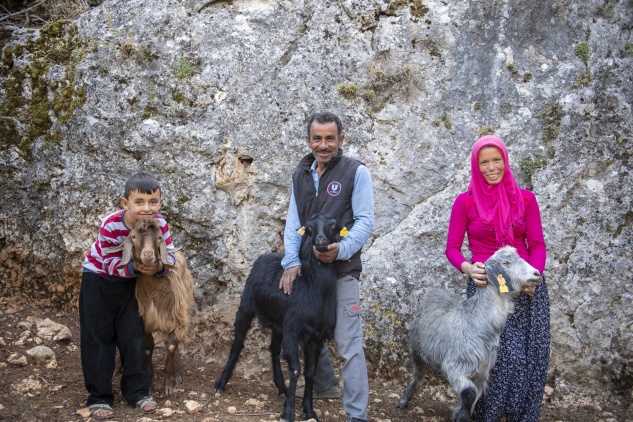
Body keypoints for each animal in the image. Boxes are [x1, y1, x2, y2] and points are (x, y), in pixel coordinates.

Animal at [107, 218, 194, 396]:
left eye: (160, 237)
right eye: (133, 237)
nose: (148, 255)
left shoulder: (173, 317)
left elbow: (172, 345)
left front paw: (169, 384)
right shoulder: (144, 319)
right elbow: (147, 348)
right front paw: (148, 384)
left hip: (184, 309)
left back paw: (179, 372)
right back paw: (118, 368)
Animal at [214, 214, 340, 422]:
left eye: (333, 226)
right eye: (309, 229)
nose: (321, 239)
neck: (314, 289)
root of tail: (265, 255)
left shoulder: (316, 336)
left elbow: (310, 372)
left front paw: (309, 410)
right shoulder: (294, 329)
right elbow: (296, 369)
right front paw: (288, 413)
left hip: (280, 324)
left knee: (273, 349)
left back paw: (282, 388)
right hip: (247, 306)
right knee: (238, 343)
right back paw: (220, 383)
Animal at [398, 246, 540, 420]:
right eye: (506, 262)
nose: (536, 274)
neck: (477, 322)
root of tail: (435, 291)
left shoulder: (482, 372)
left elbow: (473, 397)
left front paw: (461, 414)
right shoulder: (454, 366)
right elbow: (469, 393)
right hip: (417, 349)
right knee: (418, 374)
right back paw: (404, 400)